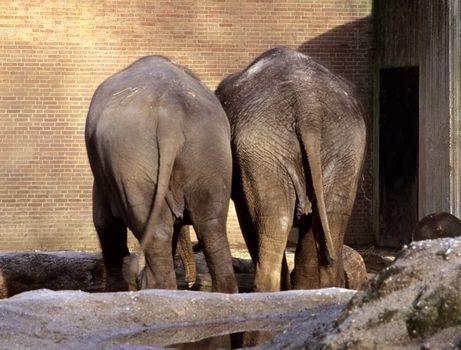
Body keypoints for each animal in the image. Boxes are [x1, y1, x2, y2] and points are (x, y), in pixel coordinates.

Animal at [84, 56, 237, 294]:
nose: (191, 283)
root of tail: (171, 116)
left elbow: (103, 221)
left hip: (133, 159)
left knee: (155, 228)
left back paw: (158, 289)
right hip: (210, 151)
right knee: (212, 227)